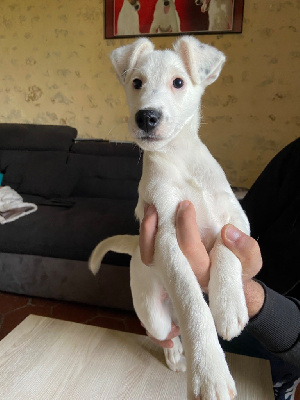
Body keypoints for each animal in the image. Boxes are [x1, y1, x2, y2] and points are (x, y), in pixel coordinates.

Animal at [90, 36, 250, 398]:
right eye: (136, 83)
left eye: (178, 82)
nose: (146, 117)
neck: (181, 158)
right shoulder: (165, 235)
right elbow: (193, 305)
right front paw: (209, 373)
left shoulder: (235, 219)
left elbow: (228, 249)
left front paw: (228, 305)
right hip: (152, 310)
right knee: (167, 330)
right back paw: (177, 354)